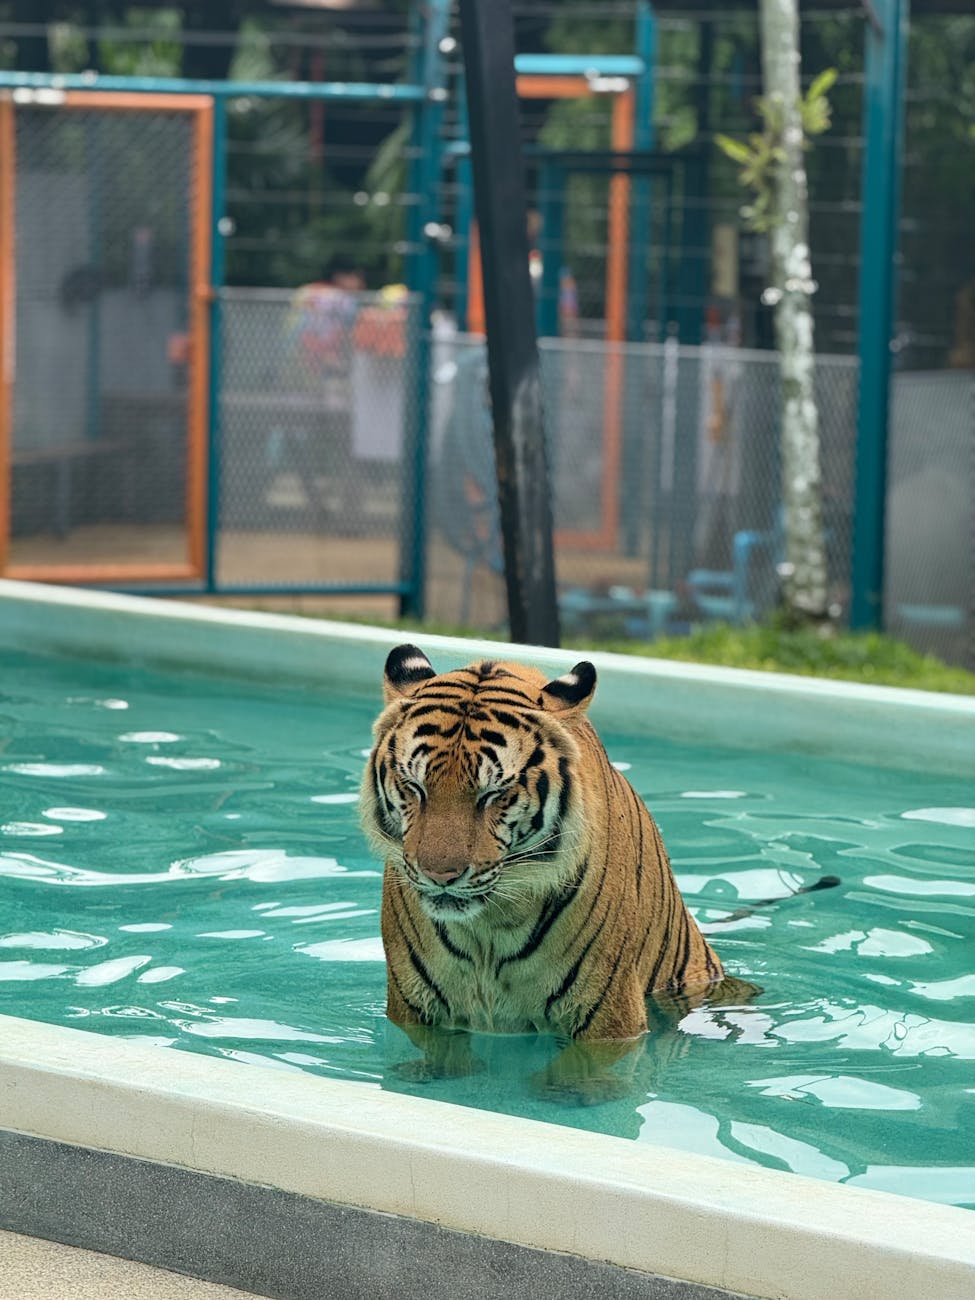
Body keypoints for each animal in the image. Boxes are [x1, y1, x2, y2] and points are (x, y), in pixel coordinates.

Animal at [360, 644, 751, 1099]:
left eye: (494, 794)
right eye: (415, 787)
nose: (440, 875)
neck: (489, 927)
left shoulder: (608, 1011)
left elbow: (587, 1065)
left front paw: (566, 1092)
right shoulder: (414, 1004)